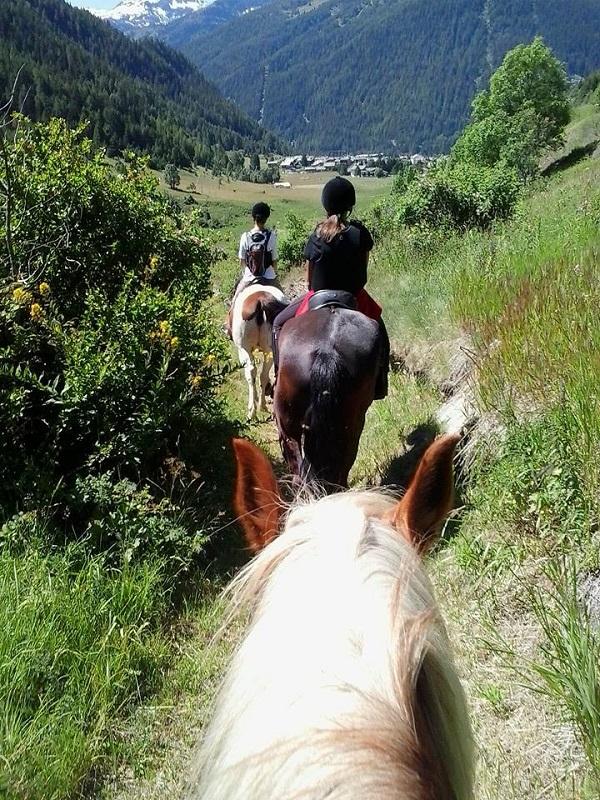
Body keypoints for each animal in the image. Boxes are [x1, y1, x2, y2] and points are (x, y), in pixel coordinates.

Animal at [231, 282, 288, 422]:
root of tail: (261, 301)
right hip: (270, 350)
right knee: (263, 375)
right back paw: (261, 407)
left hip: (244, 348)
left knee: (252, 372)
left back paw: (254, 410)